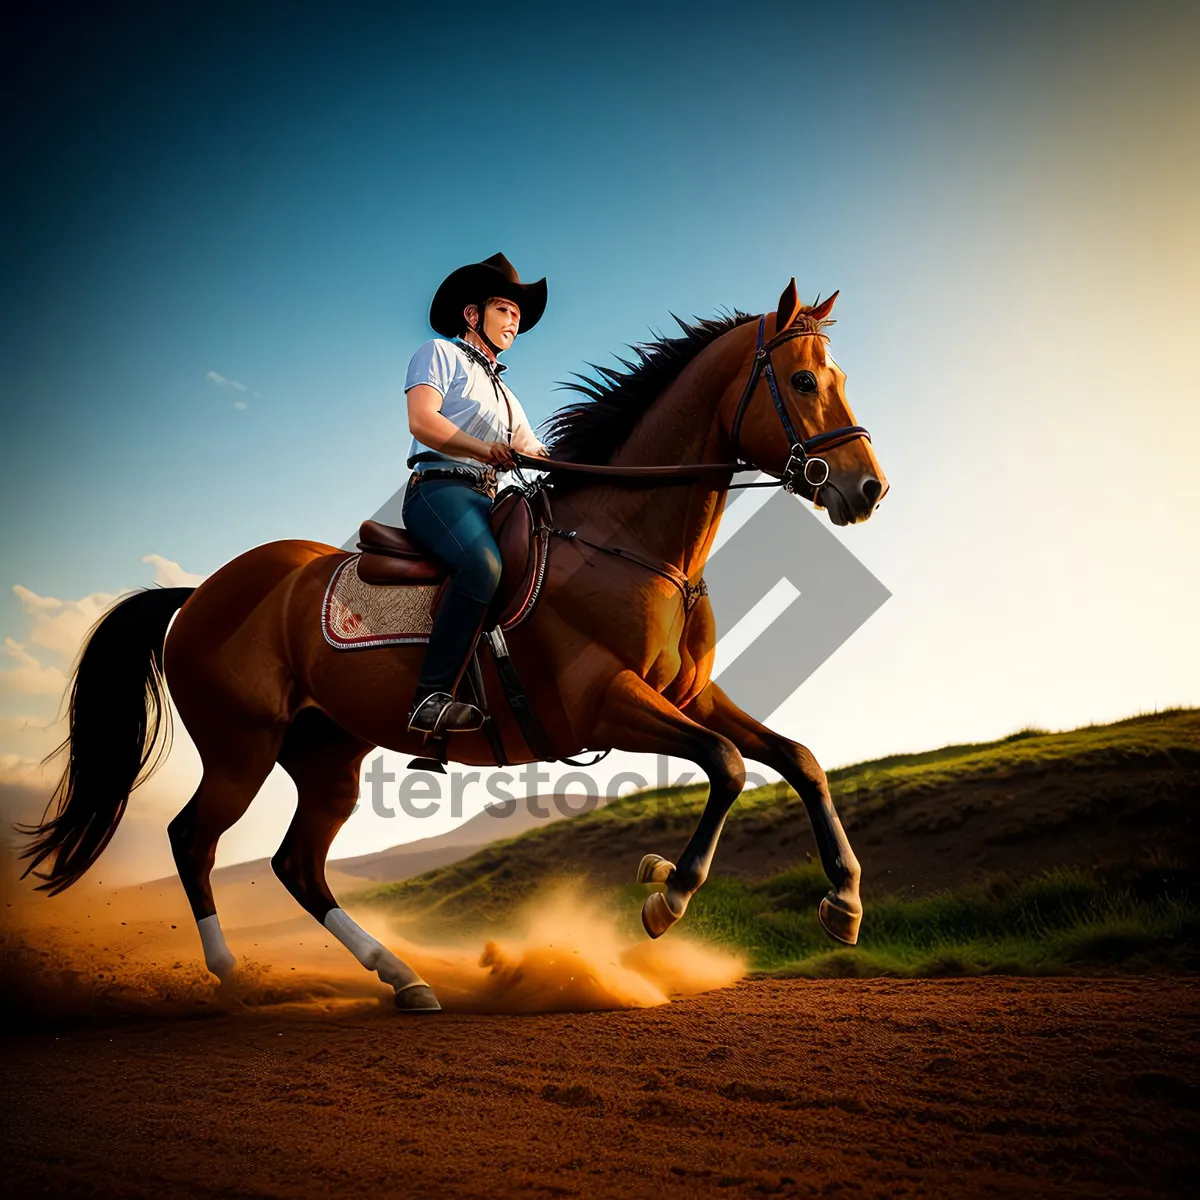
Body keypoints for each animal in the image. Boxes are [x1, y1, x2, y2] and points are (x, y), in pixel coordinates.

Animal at [16, 276, 883, 1008]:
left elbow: (797, 758)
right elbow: (728, 764)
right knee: (192, 839)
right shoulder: (602, 703)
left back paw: (403, 978)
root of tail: (200, 594)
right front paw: (666, 893)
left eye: (837, 377)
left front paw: (843, 901)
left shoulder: (687, 694)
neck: (629, 544)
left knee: (297, 864)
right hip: (241, 746)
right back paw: (233, 976)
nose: (866, 488)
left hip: (326, 754)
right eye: (803, 382)